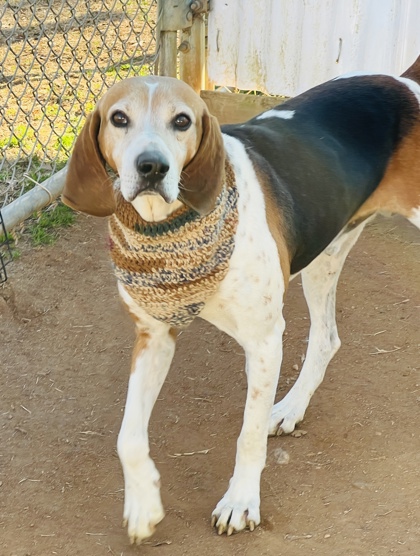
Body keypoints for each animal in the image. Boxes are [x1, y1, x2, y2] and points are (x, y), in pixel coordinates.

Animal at [62, 55, 420, 544]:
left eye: (182, 120)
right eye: (119, 118)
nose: (151, 166)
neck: (172, 228)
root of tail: (407, 84)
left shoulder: (264, 341)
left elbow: (247, 434)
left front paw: (240, 502)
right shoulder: (154, 335)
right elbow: (128, 438)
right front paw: (143, 506)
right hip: (326, 253)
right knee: (326, 339)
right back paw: (289, 409)